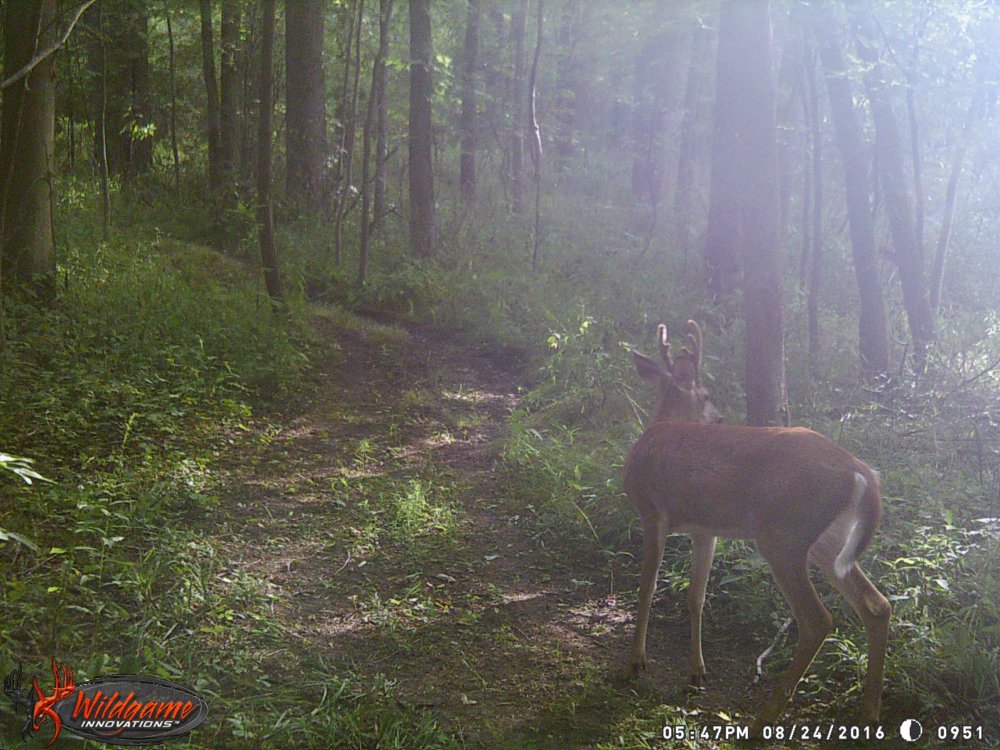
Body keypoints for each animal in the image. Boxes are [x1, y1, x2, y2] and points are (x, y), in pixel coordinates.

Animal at [624, 322, 892, 736]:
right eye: (707, 395)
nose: (719, 417)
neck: (660, 425)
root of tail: (862, 472)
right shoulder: (705, 529)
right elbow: (695, 596)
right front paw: (696, 673)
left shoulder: (652, 512)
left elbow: (646, 588)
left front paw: (636, 664)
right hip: (829, 540)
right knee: (876, 604)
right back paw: (869, 712)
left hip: (783, 537)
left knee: (817, 620)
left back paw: (765, 717)